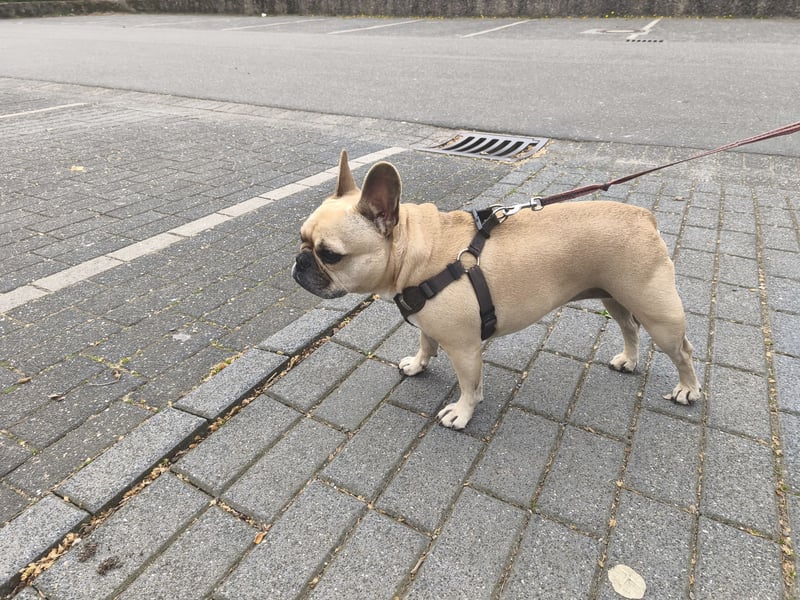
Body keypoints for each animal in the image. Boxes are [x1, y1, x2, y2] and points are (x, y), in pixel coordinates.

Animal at [293, 150, 702, 429]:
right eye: (301, 238)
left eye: (330, 255)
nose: (299, 262)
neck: (414, 252)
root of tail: (644, 217)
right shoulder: (430, 325)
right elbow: (426, 343)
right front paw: (418, 364)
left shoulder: (465, 347)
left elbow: (470, 385)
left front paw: (461, 413)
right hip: (611, 295)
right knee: (629, 327)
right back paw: (629, 360)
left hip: (657, 312)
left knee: (682, 350)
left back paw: (687, 390)